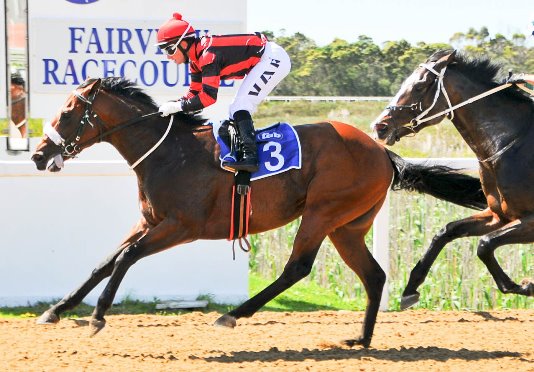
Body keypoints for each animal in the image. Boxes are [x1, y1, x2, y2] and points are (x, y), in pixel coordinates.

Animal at [31, 77, 488, 348]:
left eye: (68, 112)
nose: (38, 155)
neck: (169, 151)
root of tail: (384, 152)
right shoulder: (149, 221)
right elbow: (104, 262)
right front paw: (56, 310)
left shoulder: (181, 226)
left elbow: (125, 258)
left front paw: (97, 317)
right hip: (347, 227)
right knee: (373, 275)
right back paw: (360, 340)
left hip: (322, 213)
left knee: (297, 268)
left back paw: (232, 316)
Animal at [372, 49, 534, 310]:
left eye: (420, 86)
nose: (380, 127)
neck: (512, 143)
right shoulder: (499, 215)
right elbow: (447, 231)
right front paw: (410, 289)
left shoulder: (530, 221)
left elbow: (484, 245)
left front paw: (525, 286)